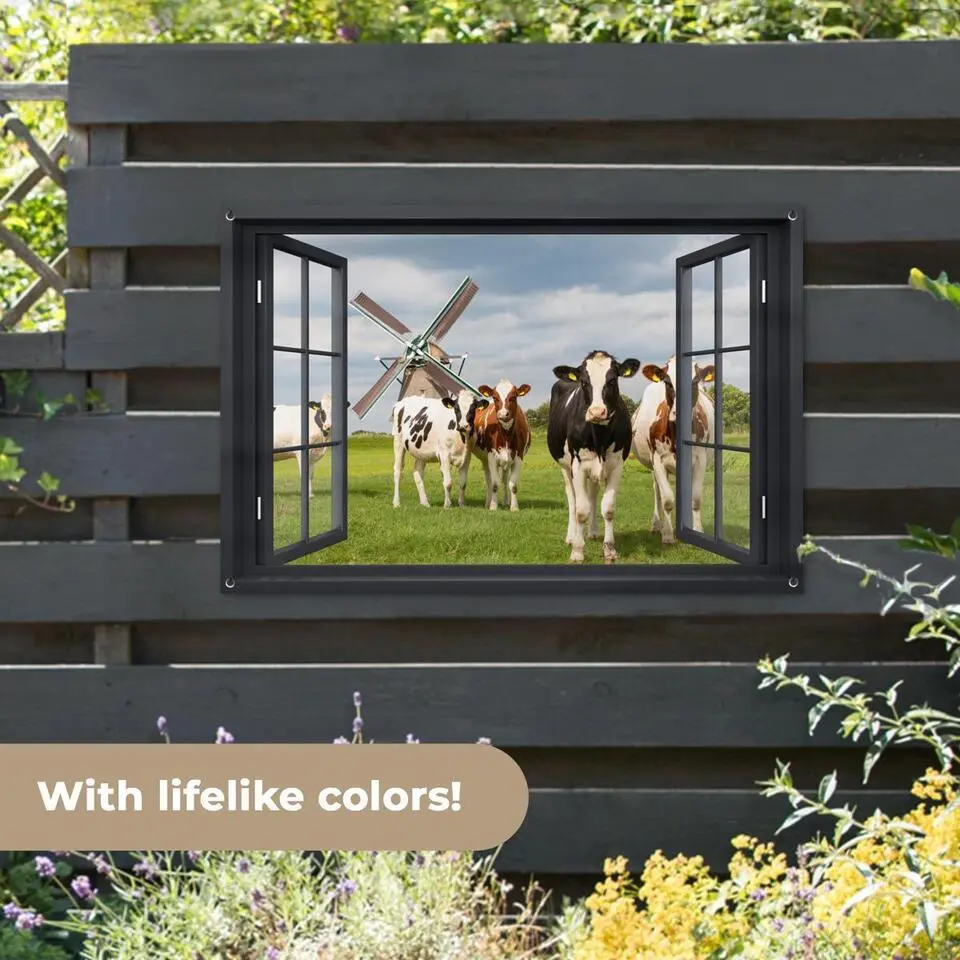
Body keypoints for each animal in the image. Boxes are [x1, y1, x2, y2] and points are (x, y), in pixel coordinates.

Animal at [469, 379, 533, 512]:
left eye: (513, 397)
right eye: (495, 397)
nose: (503, 414)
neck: (506, 435)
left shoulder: (518, 457)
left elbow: (512, 484)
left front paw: (514, 507)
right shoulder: (492, 457)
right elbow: (494, 484)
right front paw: (493, 506)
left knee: (504, 478)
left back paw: (505, 501)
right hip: (485, 459)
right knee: (489, 480)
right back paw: (488, 503)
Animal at [547, 350, 640, 564]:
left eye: (612, 379)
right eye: (583, 381)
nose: (597, 412)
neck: (599, 438)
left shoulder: (616, 465)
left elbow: (608, 508)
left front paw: (609, 549)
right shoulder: (578, 466)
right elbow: (581, 510)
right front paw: (578, 550)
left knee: (593, 495)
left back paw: (593, 532)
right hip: (565, 467)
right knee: (572, 499)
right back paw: (571, 536)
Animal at [630, 357, 716, 545]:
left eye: (695, 381)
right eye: (668, 382)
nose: (678, 413)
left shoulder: (700, 459)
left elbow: (695, 498)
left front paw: (697, 530)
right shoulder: (657, 460)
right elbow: (667, 499)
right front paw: (668, 535)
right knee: (657, 491)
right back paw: (656, 525)